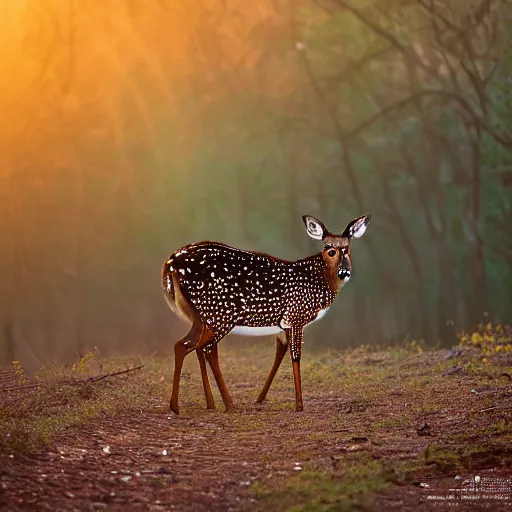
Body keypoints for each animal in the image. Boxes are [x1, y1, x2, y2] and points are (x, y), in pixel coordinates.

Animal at [162, 214, 370, 414]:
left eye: (347, 248)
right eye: (329, 249)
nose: (344, 272)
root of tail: (170, 264)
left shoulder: (283, 323)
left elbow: (280, 351)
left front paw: (261, 398)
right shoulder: (296, 315)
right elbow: (296, 357)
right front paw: (299, 405)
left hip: (203, 317)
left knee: (187, 346)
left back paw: (202, 404)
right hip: (221, 314)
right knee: (204, 348)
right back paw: (225, 405)